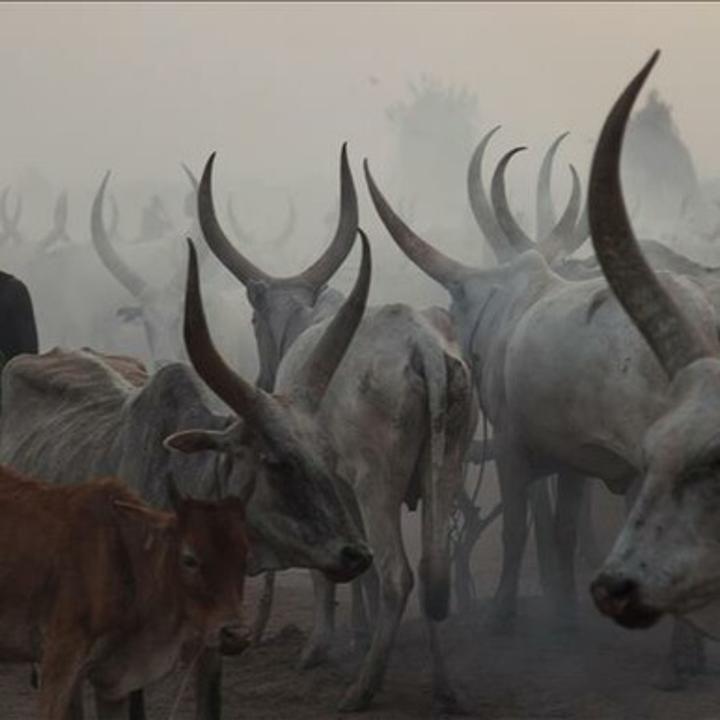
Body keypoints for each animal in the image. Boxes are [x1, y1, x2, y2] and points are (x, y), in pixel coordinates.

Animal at [198, 146, 478, 713]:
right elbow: (355, 565)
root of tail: (425, 348)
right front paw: (356, 632)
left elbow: (327, 567)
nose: (261, 380)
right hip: (448, 469)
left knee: (398, 576)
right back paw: (444, 687)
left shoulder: (328, 483)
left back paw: (362, 688)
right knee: (433, 570)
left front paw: (320, 647)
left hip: (377, 484)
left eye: (253, 319)